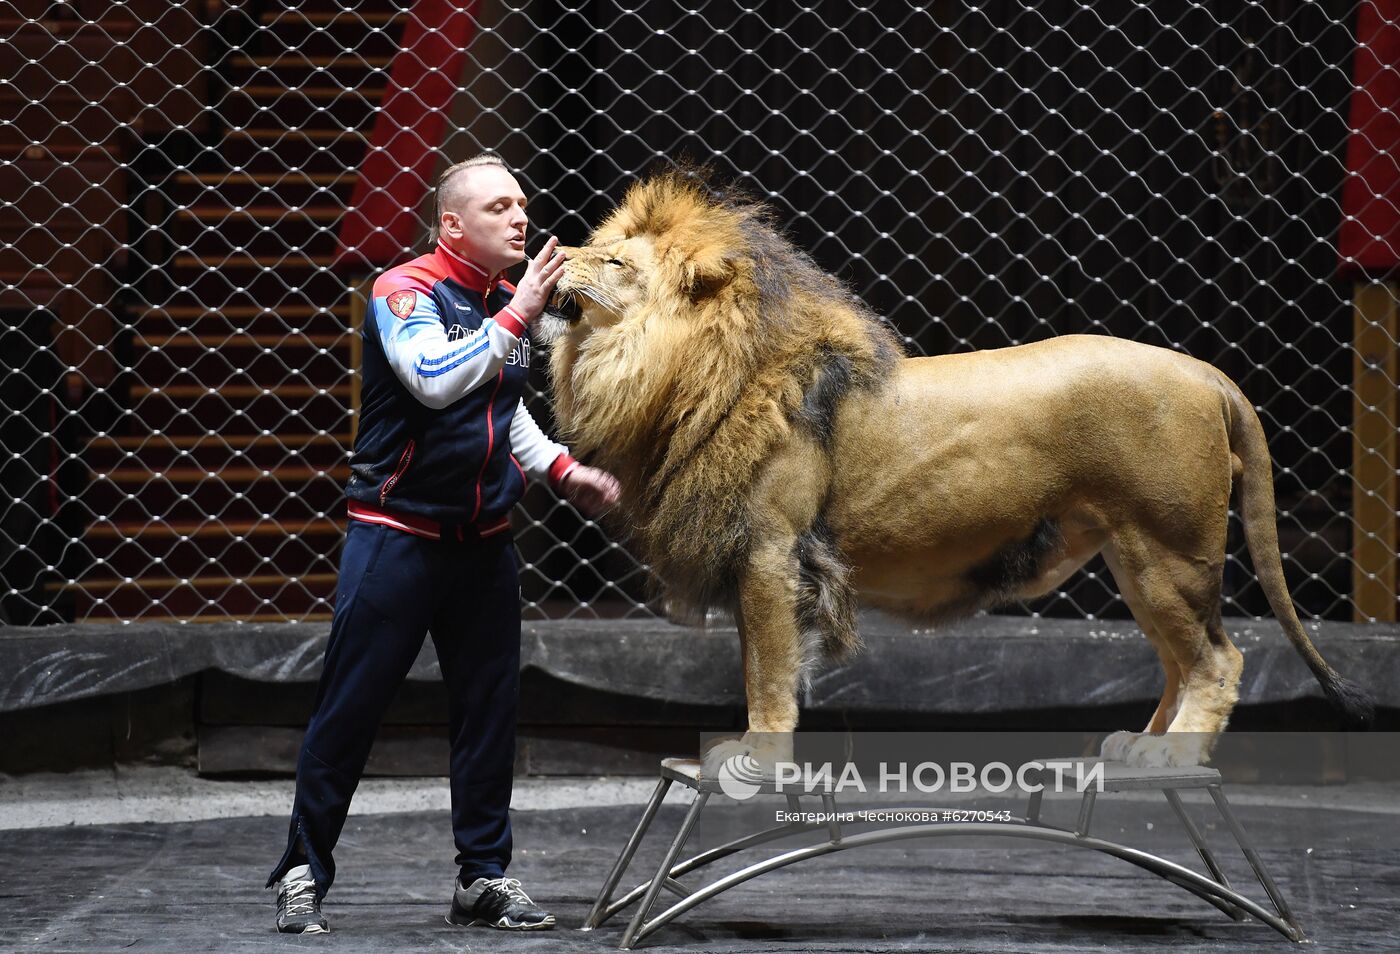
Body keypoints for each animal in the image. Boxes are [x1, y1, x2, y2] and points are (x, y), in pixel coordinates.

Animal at [540, 170, 1372, 773]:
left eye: (613, 260)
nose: (550, 251)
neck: (683, 370)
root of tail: (1207, 374)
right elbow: (758, 663)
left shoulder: (772, 552)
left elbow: (767, 670)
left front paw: (758, 759)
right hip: (1134, 555)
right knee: (1179, 659)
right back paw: (1140, 748)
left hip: (1171, 549)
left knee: (1218, 658)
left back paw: (1173, 757)